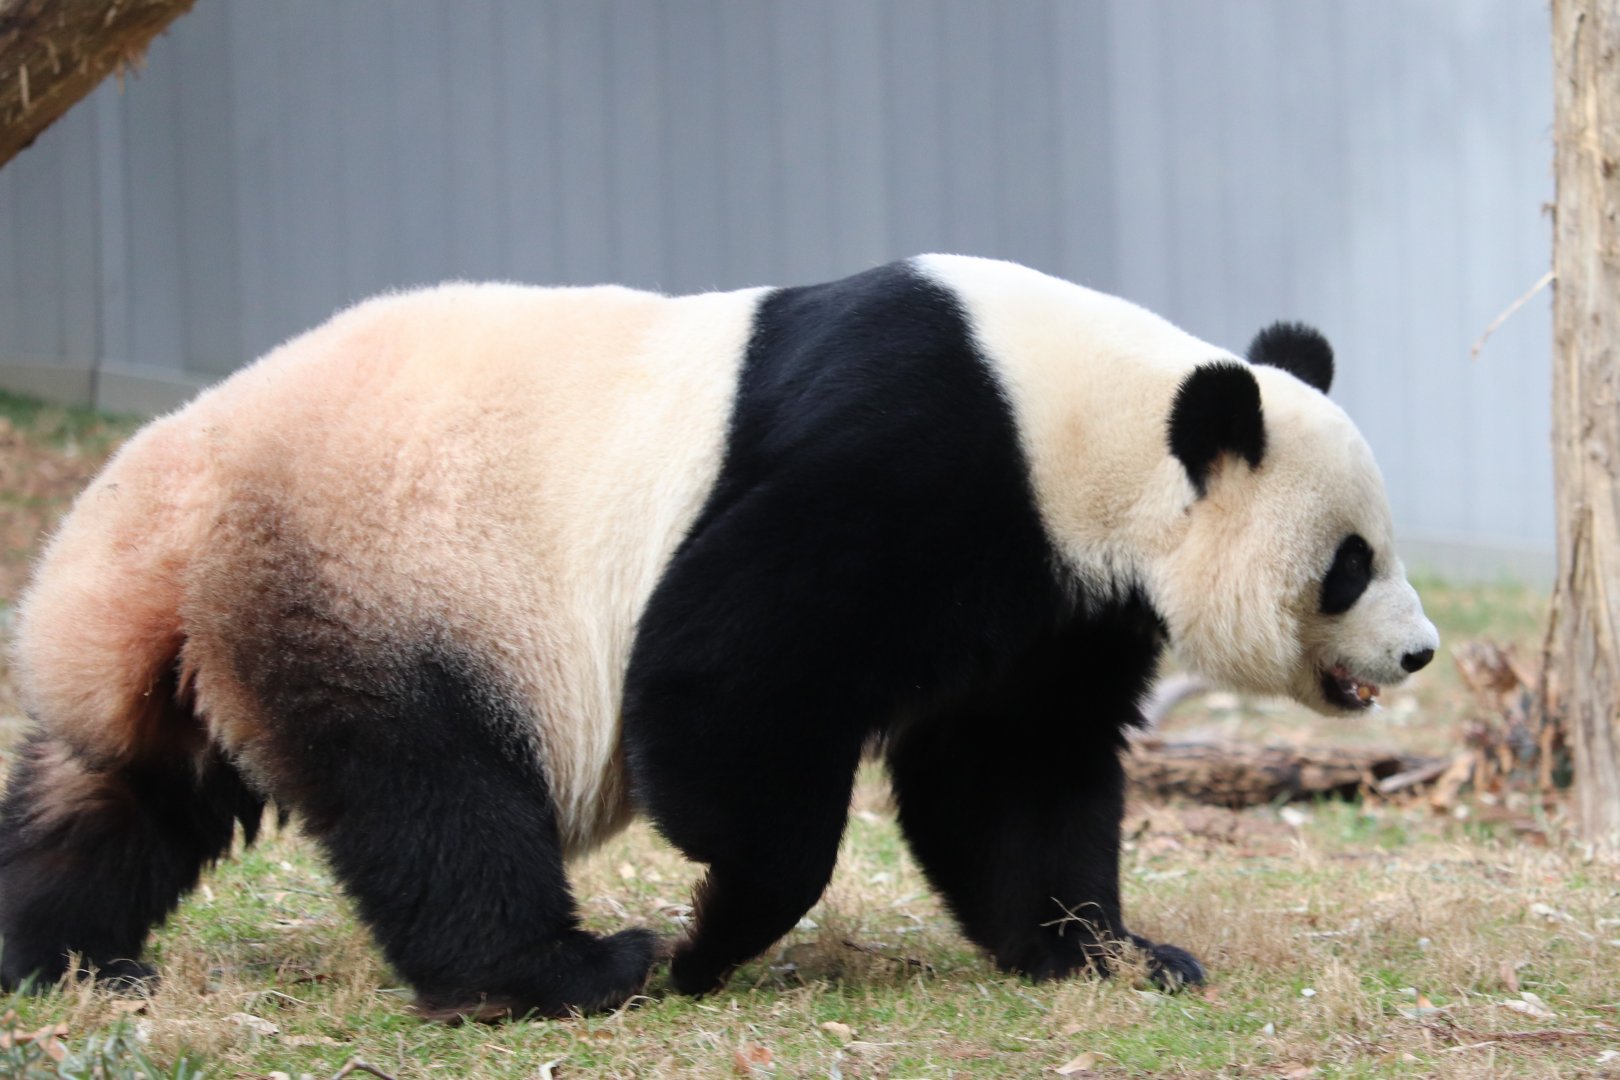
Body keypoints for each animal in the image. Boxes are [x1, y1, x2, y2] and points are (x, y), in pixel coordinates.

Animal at [0, 255, 1437, 1019]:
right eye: (1351, 563)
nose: (1419, 654)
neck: (1099, 418)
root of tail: (151, 527)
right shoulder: (920, 459)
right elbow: (726, 678)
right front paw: (712, 932)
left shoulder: (1053, 591)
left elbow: (1009, 773)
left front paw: (1111, 953)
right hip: (378, 575)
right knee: (433, 797)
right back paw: (571, 968)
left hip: (209, 635)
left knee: (119, 800)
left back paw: (69, 957)